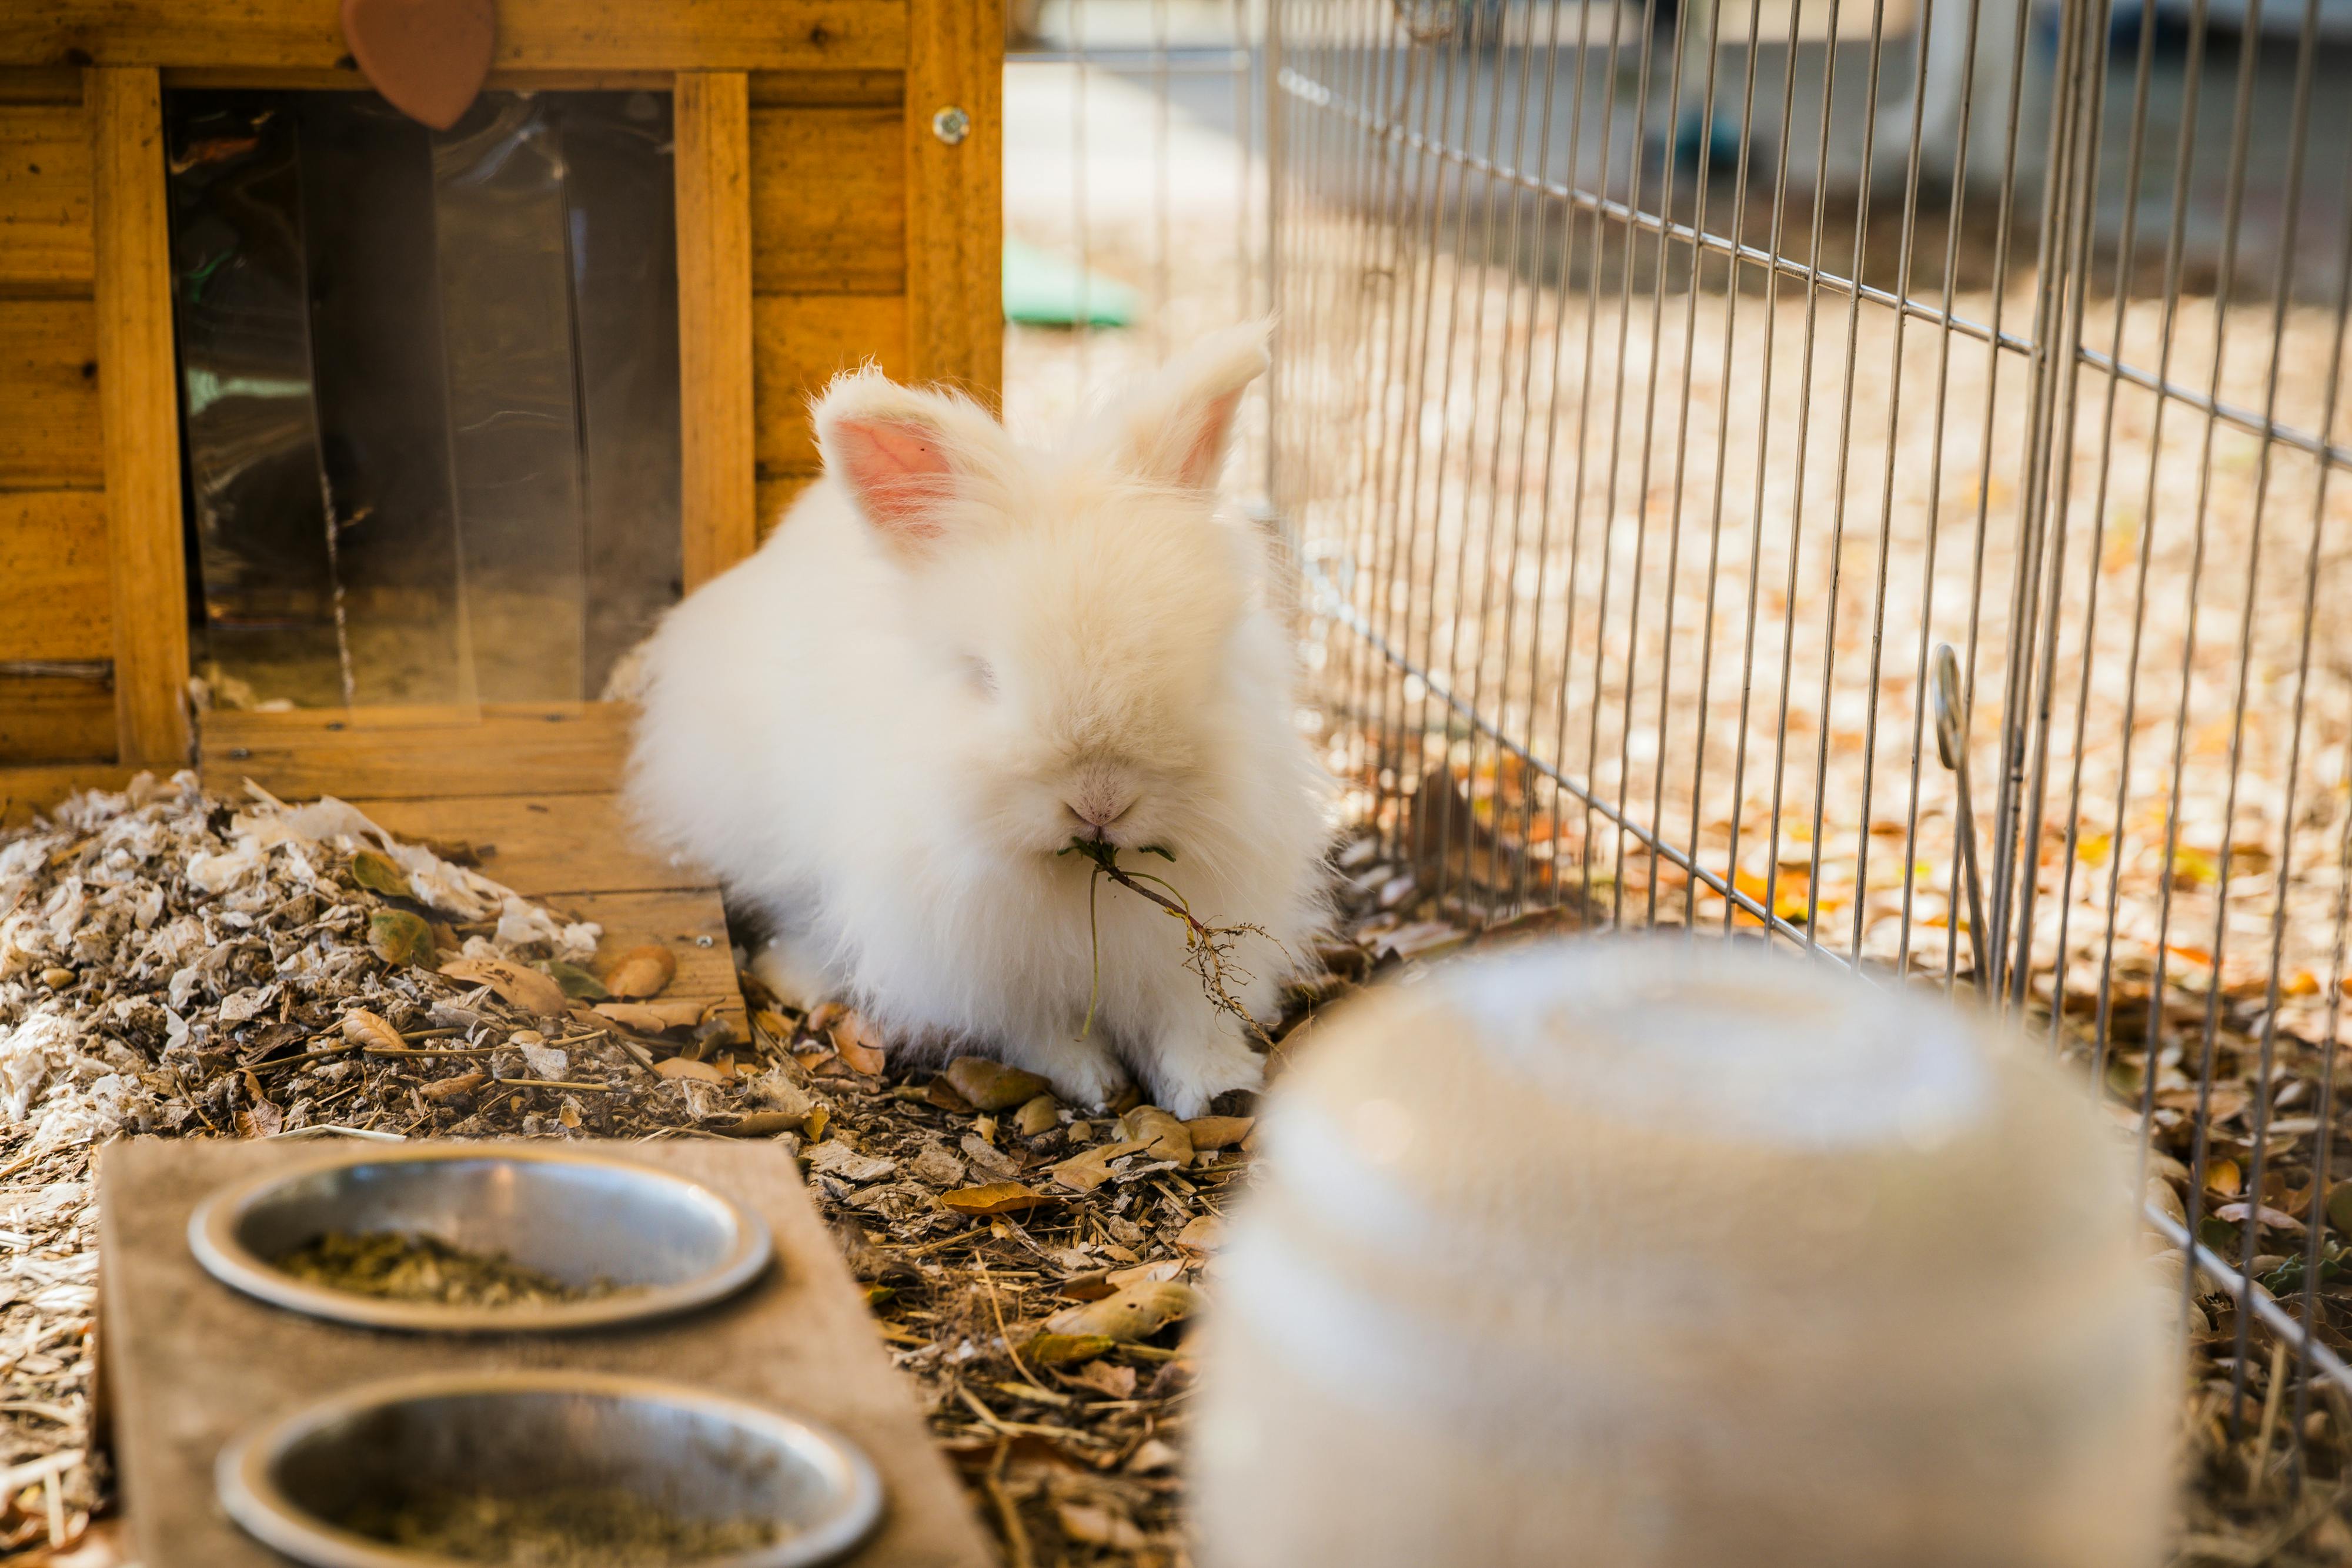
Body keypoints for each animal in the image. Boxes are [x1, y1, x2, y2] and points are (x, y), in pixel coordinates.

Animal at [623, 324, 1333, 1117]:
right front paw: (1089, 1078)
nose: (1100, 803)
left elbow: (1189, 1020)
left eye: (1207, 667)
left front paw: (1216, 1086)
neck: (1072, 887)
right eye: (984, 677)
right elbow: (1037, 1027)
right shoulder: (979, 959)